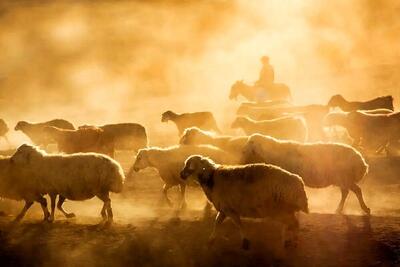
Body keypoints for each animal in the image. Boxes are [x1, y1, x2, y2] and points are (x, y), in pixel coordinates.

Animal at [180, 156, 308, 250]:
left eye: (189, 166)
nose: (181, 174)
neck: (211, 179)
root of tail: (298, 181)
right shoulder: (224, 209)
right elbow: (217, 223)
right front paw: (211, 239)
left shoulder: (230, 210)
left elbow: (238, 224)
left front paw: (245, 241)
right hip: (285, 209)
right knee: (291, 224)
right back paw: (286, 240)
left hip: (281, 210)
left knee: (294, 224)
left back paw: (294, 242)